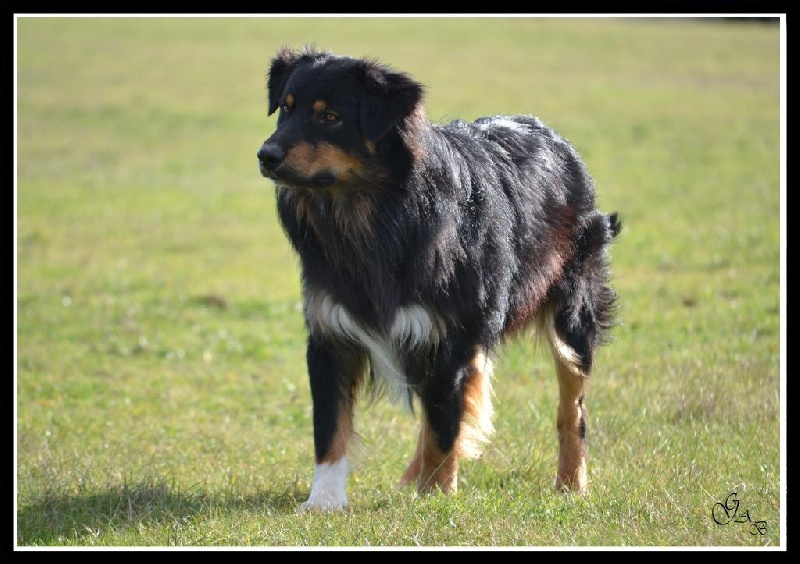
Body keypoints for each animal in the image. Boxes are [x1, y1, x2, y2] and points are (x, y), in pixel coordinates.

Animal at [256, 45, 620, 512]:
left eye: (330, 117)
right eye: (286, 108)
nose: (266, 155)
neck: (370, 212)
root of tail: (555, 138)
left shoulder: (449, 336)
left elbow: (444, 426)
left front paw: (435, 496)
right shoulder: (330, 332)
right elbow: (329, 424)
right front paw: (324, 500)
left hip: (570, 317)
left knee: (571, 407)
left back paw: (572, 483)